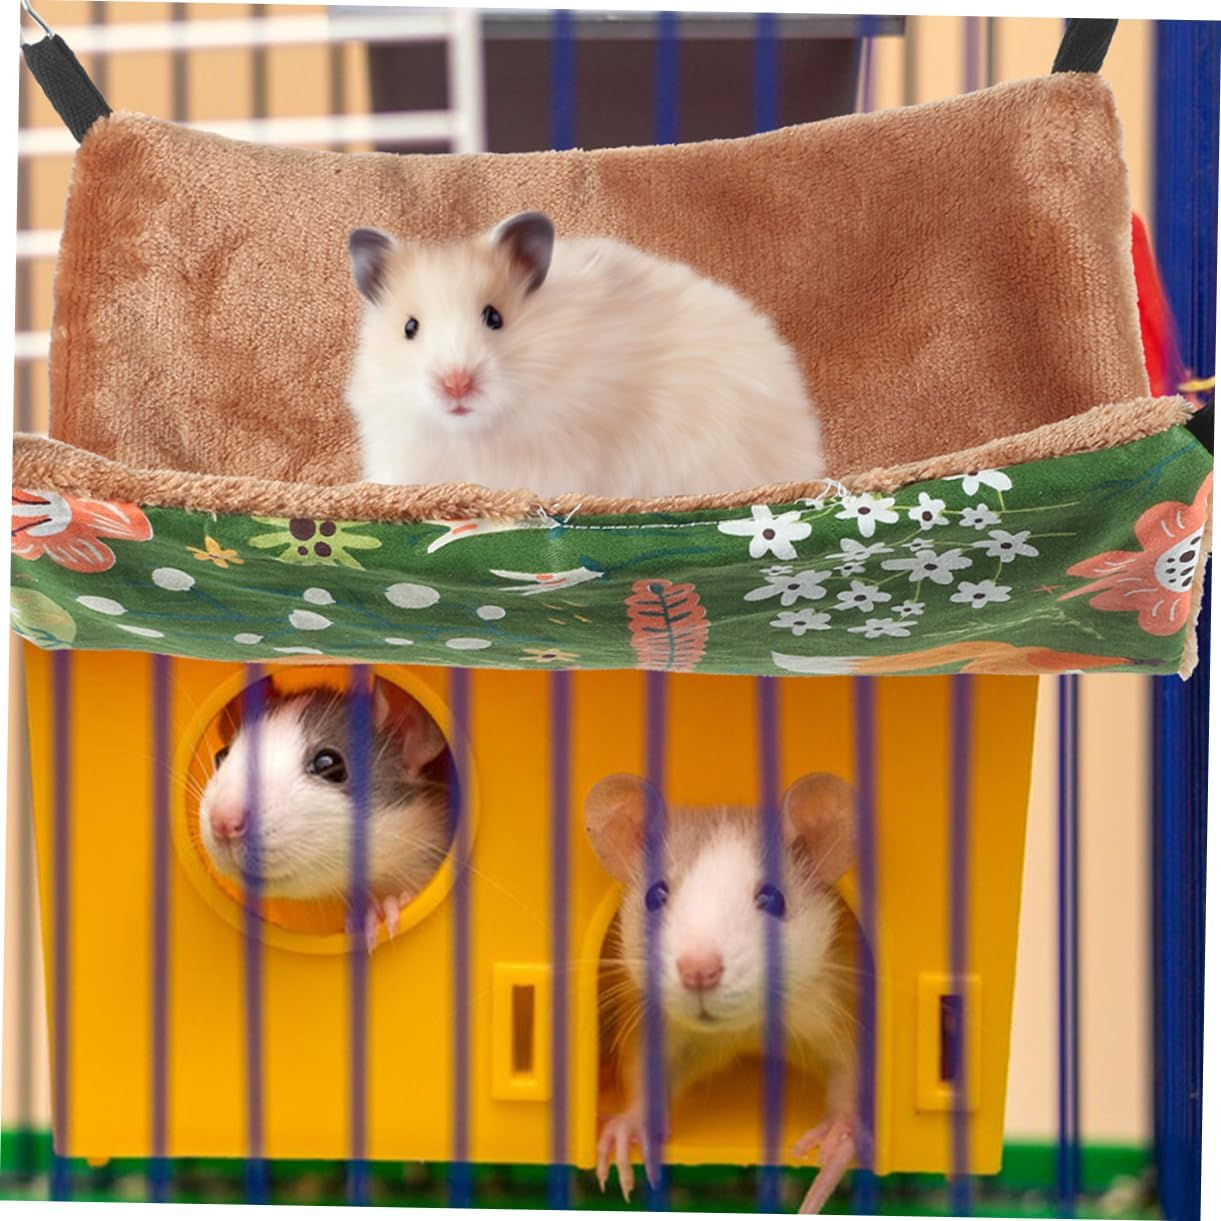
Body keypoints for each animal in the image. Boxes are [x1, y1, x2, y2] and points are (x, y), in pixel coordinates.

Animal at [585, 772, 860, 1214]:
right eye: (655, 895)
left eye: (773, 898)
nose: (698, 969)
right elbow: (645, 1060)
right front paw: (630, 1125)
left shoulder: (838, 994)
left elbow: (854, 1068)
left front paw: (839, 1136)